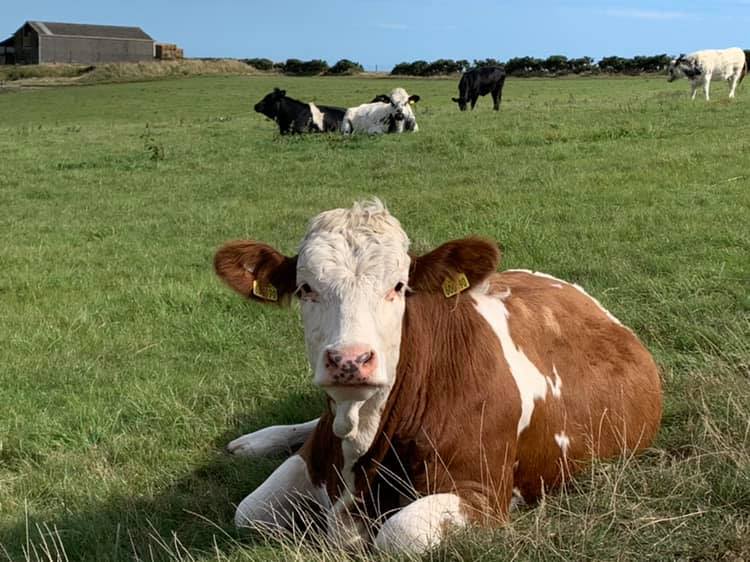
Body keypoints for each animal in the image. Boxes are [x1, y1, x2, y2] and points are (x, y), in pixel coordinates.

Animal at [214, 200, 662, 554]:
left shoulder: (482, 492)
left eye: (399, 286)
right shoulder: (316, 457)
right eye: (306, 288)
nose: (350, 360)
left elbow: (398, 535)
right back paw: (253, 441)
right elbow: (249, 512)